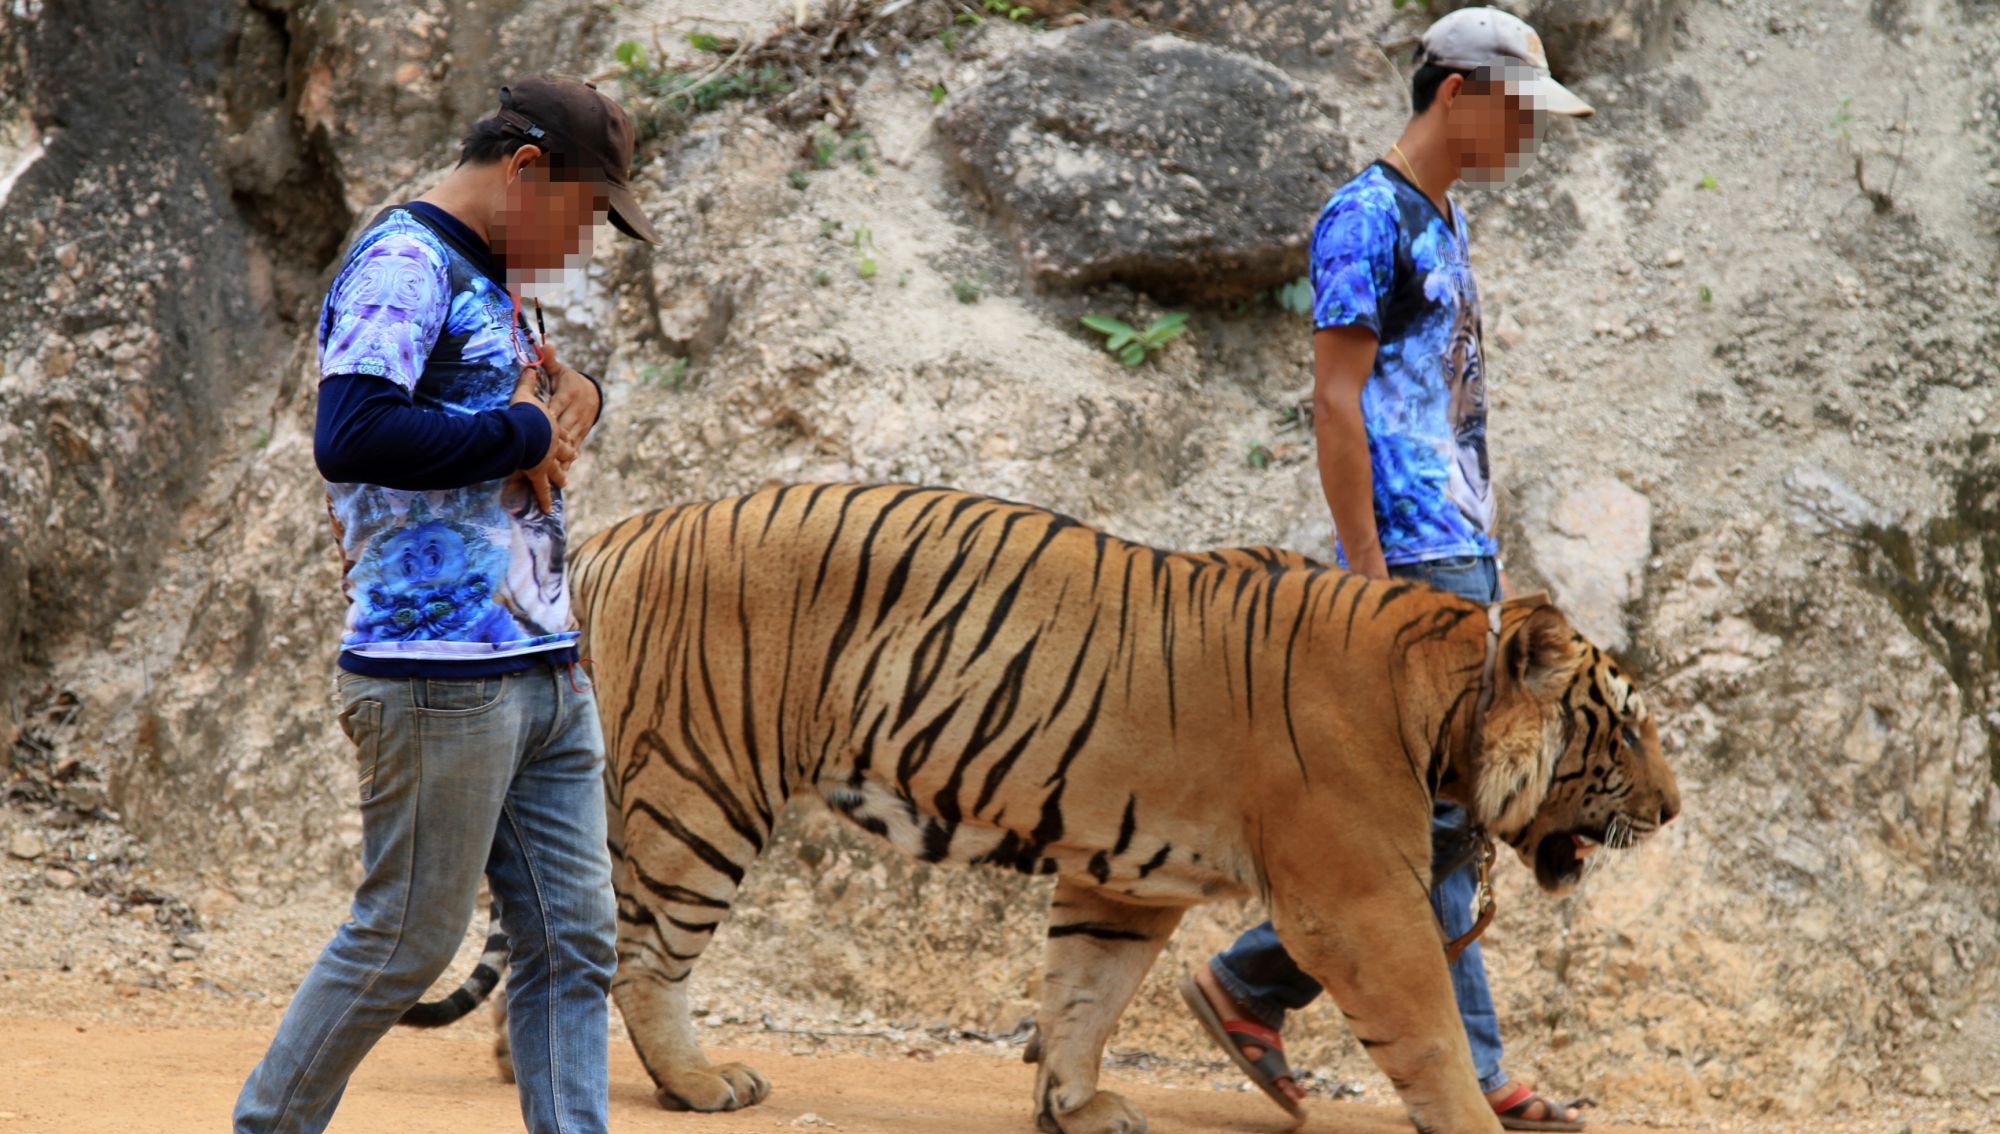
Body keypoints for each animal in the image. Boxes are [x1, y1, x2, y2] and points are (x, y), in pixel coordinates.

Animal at [398, 482, 1680, 1134]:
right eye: (1624, 725)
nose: (1671, 813)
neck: (1442, 706)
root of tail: (616, 535)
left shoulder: (1123, 875)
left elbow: (1083, 991)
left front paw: (1074, 1104)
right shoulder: (1356, 901)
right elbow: (1427, 1030)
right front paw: (1474, 1122)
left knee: (562, 940)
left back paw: (526, 1065)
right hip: (699, 794)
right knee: (642, 957)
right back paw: (697, 1084)